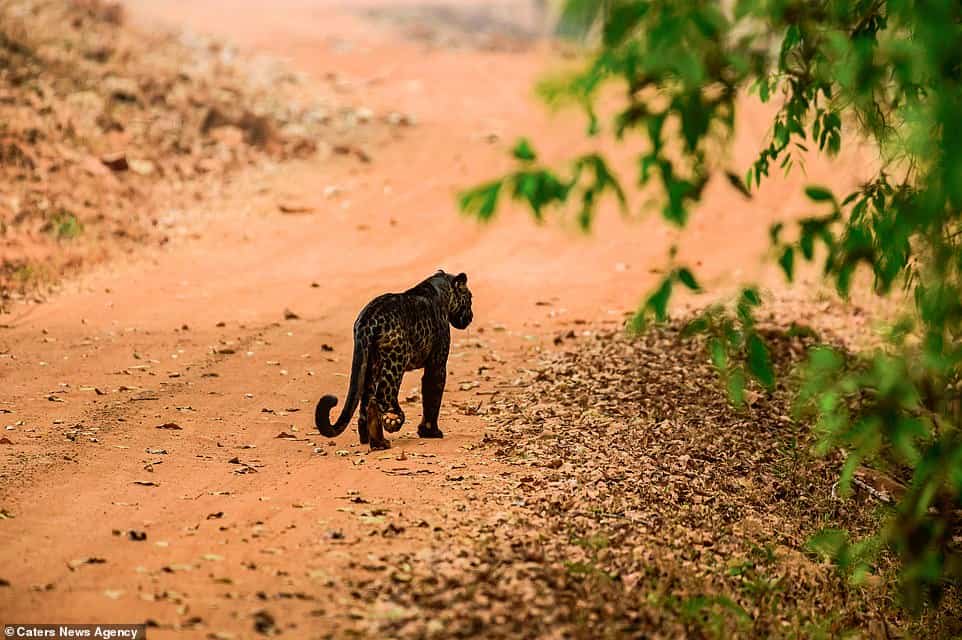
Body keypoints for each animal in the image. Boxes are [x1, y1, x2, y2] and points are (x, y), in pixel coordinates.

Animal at [316, 270, 472, 450]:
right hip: (395, 362)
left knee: (367, 402)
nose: (471, 317)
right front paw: (430, 432)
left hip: (370, 365)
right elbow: (433, 394)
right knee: (383, 396)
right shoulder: (437, 364)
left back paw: (373, 440)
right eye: (470, 298)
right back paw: (392, 423)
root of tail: (367, 321)